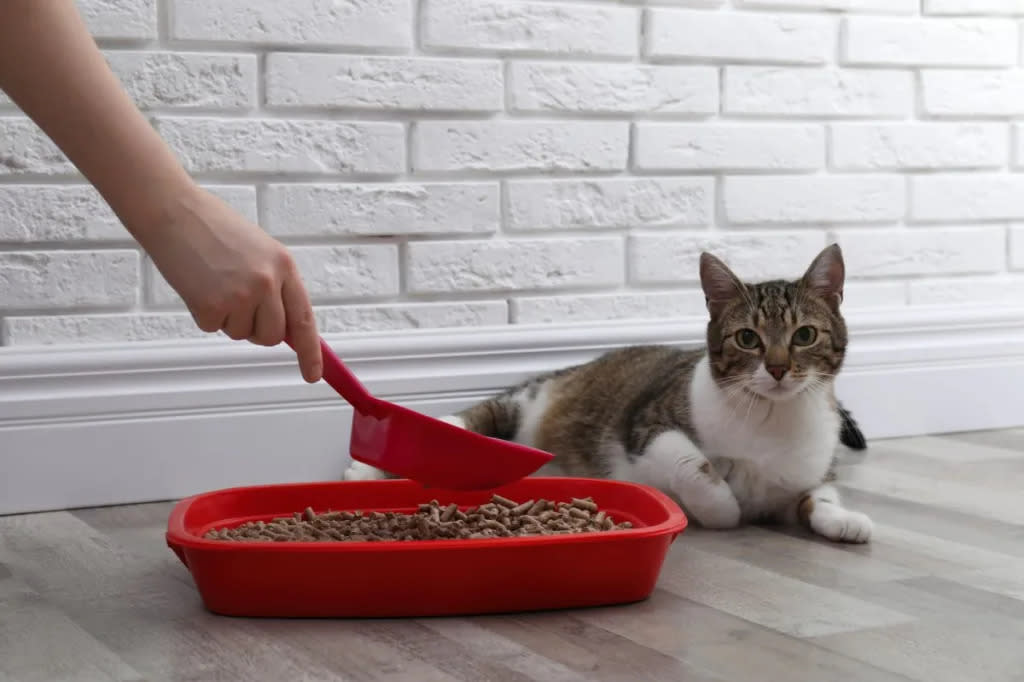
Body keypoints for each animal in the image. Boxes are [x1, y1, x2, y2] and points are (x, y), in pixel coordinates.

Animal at [346, 242, 872, 540]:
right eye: (748, 338)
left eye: (805, 335)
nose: (778, 368)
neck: (771, 418)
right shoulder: (646, 423)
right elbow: (694, 467)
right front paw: (723, 506)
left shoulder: (809, 472)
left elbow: (819, 498)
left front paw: (846, 521)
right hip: (523, 405)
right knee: (466, 422)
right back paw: (373, 463)